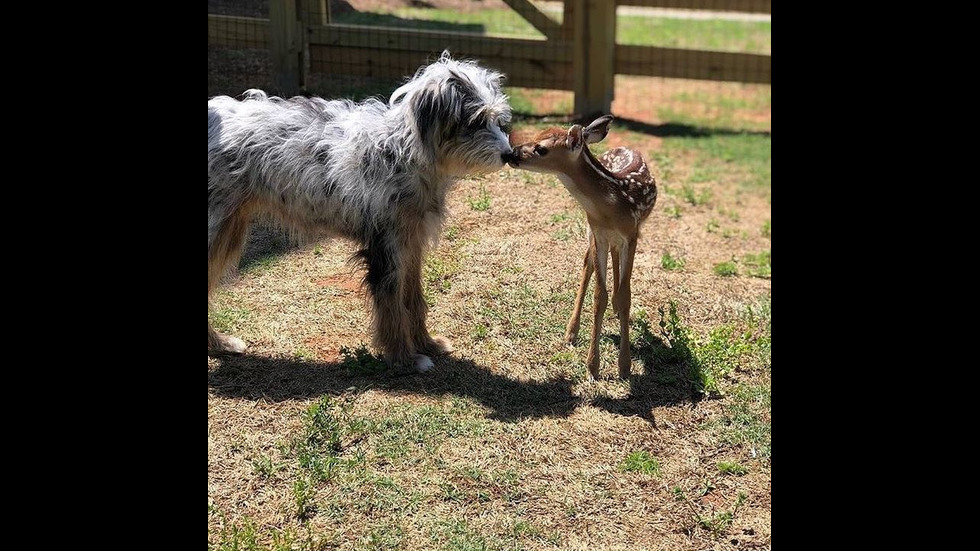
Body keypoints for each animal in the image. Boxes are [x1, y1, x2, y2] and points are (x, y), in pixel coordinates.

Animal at [206, 54, 512, 374]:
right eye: (476, 120)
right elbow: (391, 307)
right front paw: (404, 358)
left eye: (498, 119)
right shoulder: (385, 249)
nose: (509, 154)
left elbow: (413, 299)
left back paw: (220, 344)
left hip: (229, 231)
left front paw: (427, 344)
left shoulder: (411, 245)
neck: (402, 151)